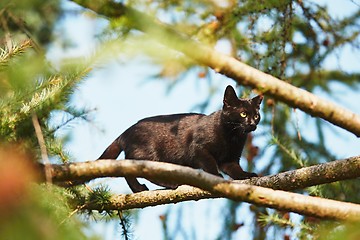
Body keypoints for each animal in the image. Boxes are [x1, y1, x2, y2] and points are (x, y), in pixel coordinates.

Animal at [100, 85, 262, 192]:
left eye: (256, 115)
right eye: (243, 114)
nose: (252, 124)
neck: (233, 137)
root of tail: (126, 132)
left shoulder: (230, 159)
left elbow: (236, 171)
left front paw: (246, 175)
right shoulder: (198, 148)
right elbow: (210, 164)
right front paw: (216, 176)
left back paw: (138, 189)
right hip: (148, 156)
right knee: (131, 168)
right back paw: (164, 185)